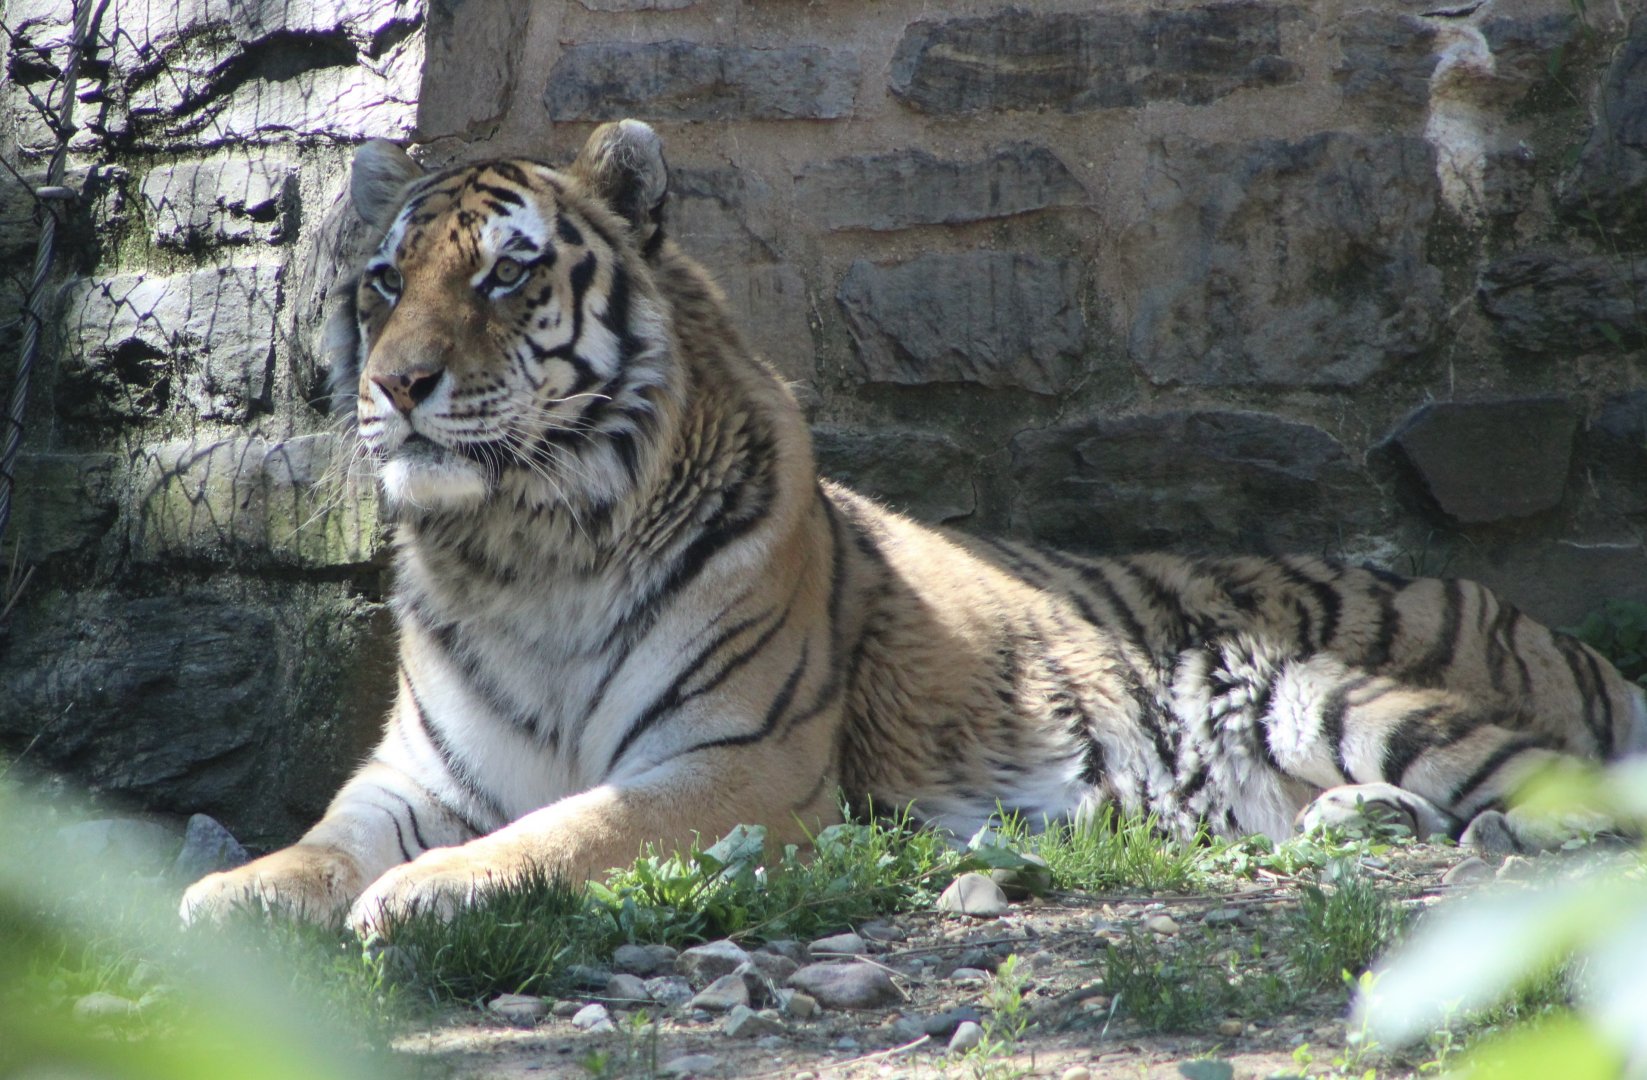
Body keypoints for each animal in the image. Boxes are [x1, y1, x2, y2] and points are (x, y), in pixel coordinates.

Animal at [181, 120, 1647, 932]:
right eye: (385, 283)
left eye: (503, 274)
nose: (396, 385)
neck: (522, 547)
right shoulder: (416, 779)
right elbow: (318, 842)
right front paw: (224, 896)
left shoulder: (737, 765)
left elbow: (565, 831)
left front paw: (425, 895)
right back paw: (1358, 826)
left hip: (1353, 696)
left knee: (1568, 797)